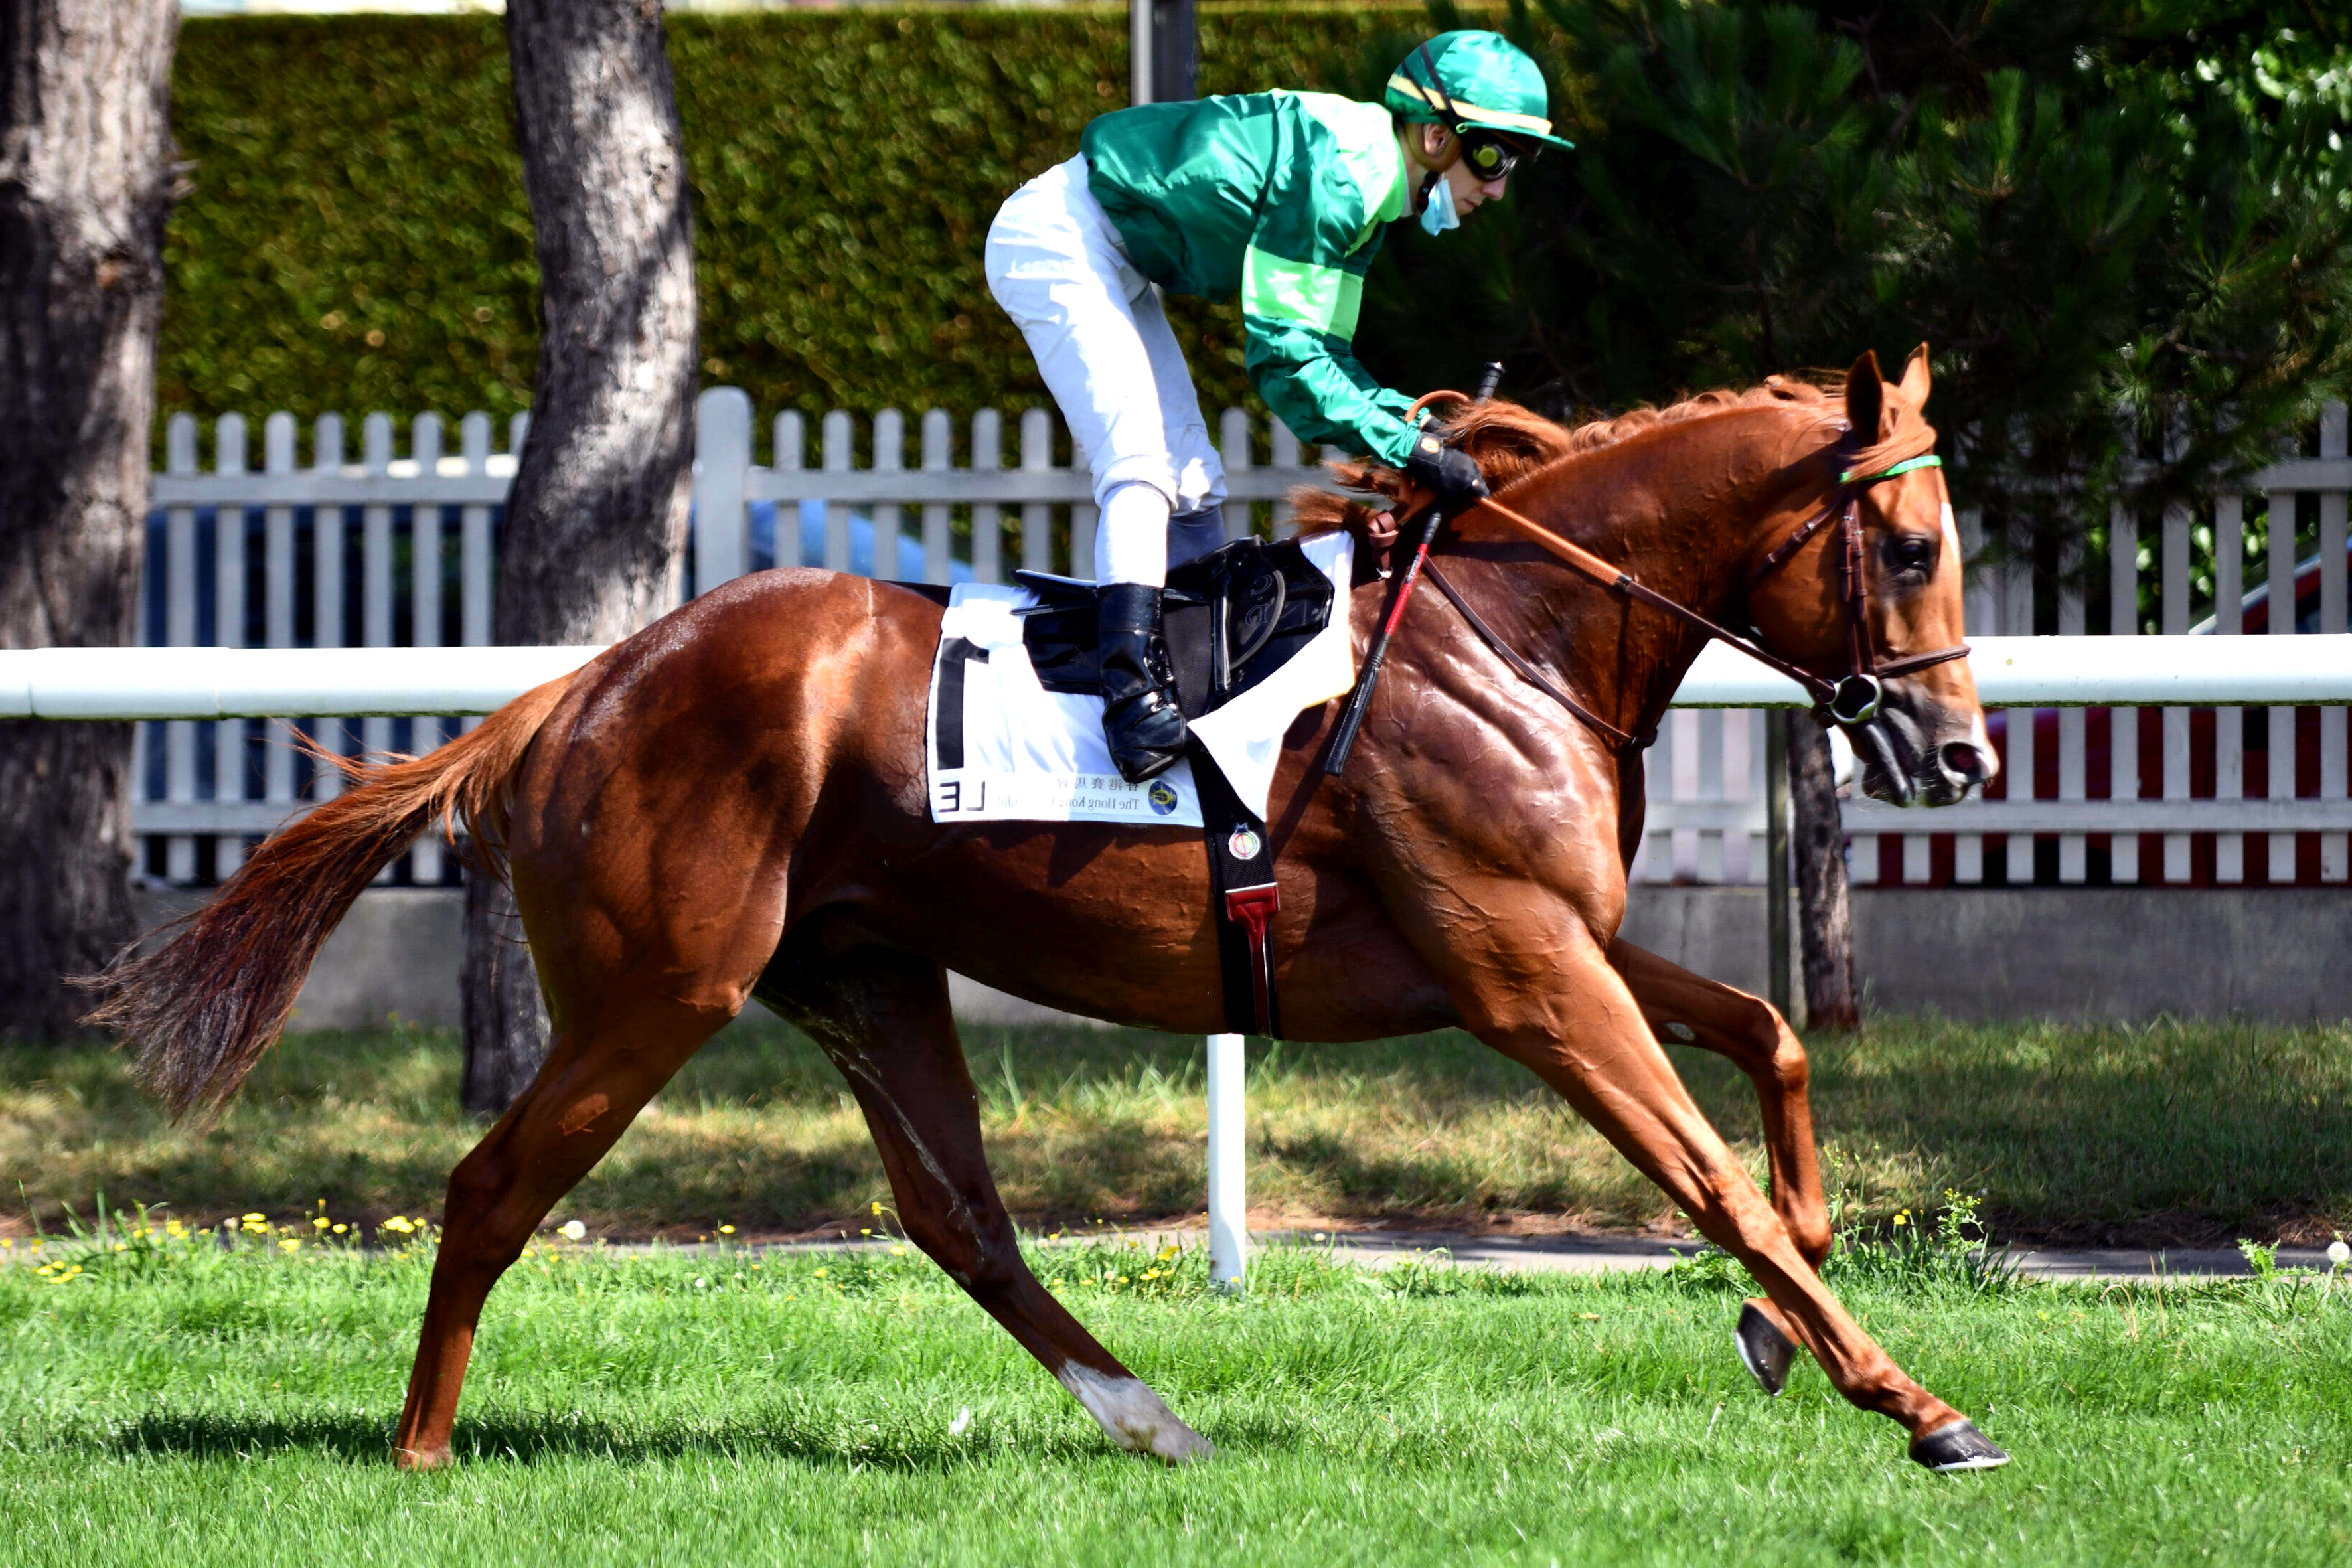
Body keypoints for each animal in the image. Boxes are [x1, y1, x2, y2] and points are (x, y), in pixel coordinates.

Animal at [87, 343, 2003, 1476]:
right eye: (1907, 548)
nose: (1963, 751)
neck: (1513, 637)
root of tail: (576, 688)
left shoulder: (1555, 942)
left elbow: (1768, 1037)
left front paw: (1777, 1325)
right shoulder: (1523, 971)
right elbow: (1706, 1179)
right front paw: (1915, 1405)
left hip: (862, 976)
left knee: (959, 1221)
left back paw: (1149, 1416)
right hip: (658, 991)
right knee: (493, 1185)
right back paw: (419, 1450)